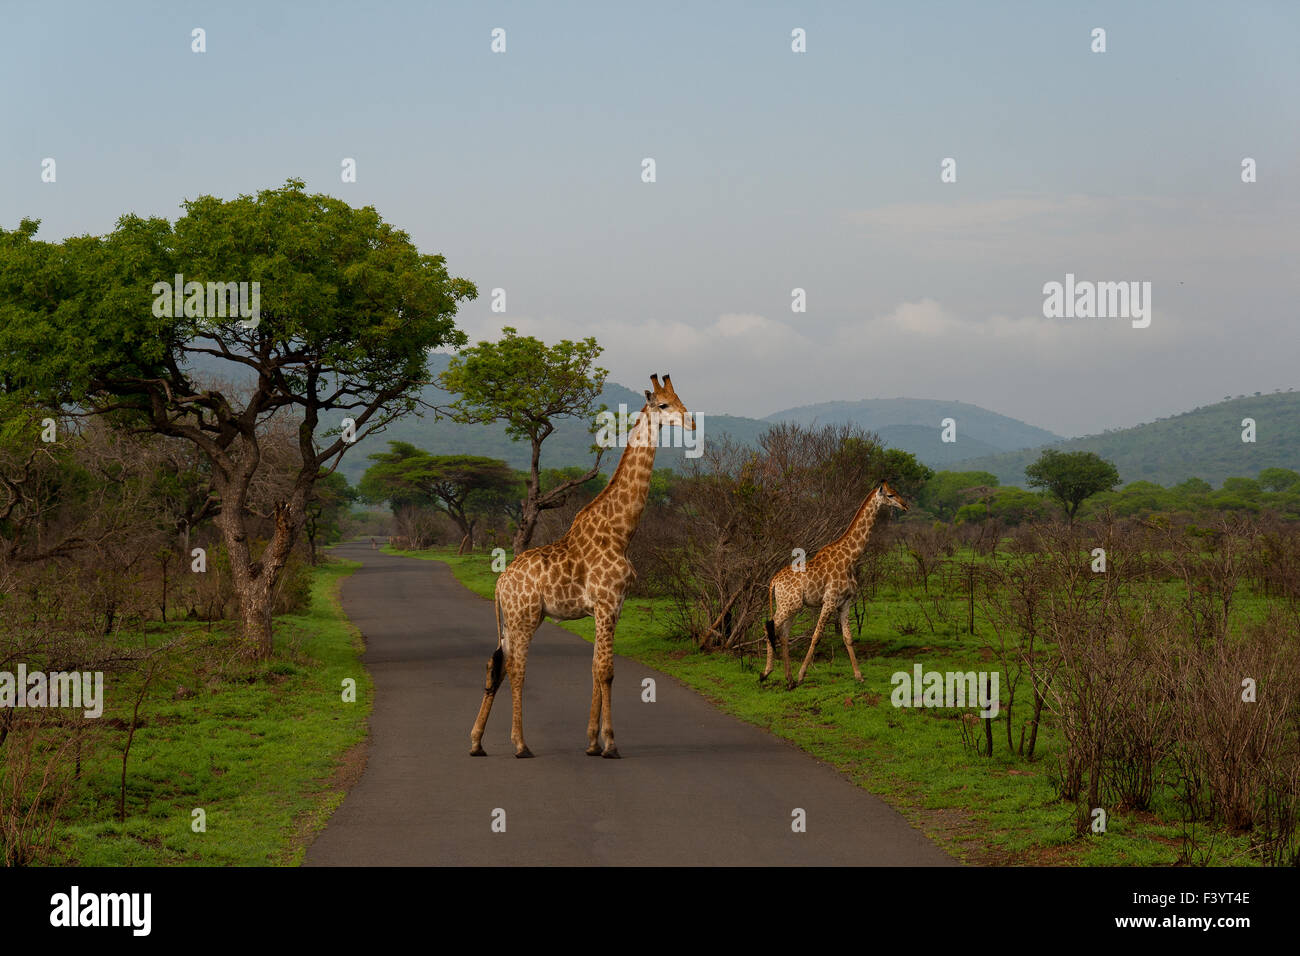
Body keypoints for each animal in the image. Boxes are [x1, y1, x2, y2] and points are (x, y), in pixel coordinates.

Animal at [470, 374, 694, 758]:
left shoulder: (613, 607)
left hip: (513, 620)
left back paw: (476, 742)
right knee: (516, 669)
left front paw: (591, 741)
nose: (691, 422)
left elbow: (594, 668)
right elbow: (606, 670)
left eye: (681, 399)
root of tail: (500, 584)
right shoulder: (606, 604)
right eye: (664, 405)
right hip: (524, 618)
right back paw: (520, 744)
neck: (620, 532)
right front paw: (610, 744)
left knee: (494, 665)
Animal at [761, 480, 908, 688]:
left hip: (791, 606)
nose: (905, 505)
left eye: (896, 491)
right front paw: (801, 675)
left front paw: (859, 676)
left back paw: (788, 679)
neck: (851, 557)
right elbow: (816, 636)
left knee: (782, 633)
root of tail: (773, 581)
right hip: (789, 605)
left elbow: (848, 638)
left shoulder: (845, 603)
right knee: (769, 626)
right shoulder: (829, 601)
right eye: (890, 495)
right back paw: (766, 673)